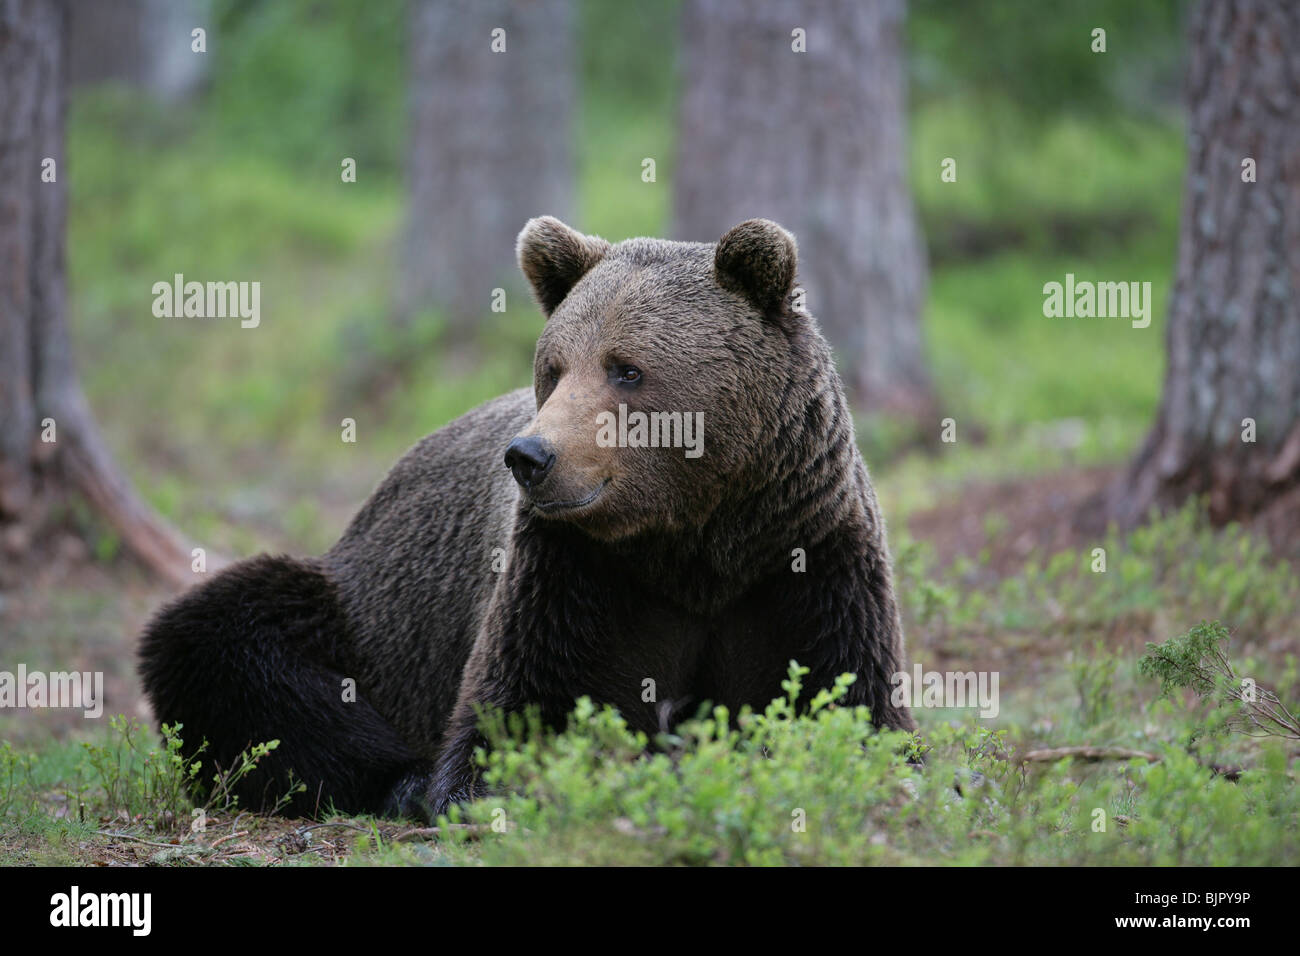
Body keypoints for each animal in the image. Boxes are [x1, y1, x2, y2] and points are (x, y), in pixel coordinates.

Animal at [138, 216, 915, 820]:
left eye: (626, 369)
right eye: (554, 365)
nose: (530, 455)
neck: (693, 541)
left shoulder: (803, 558)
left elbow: (849, 702)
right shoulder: (572, 572)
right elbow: (522, 710)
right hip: (368, 613)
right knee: (224, 634)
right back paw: (401, 778)